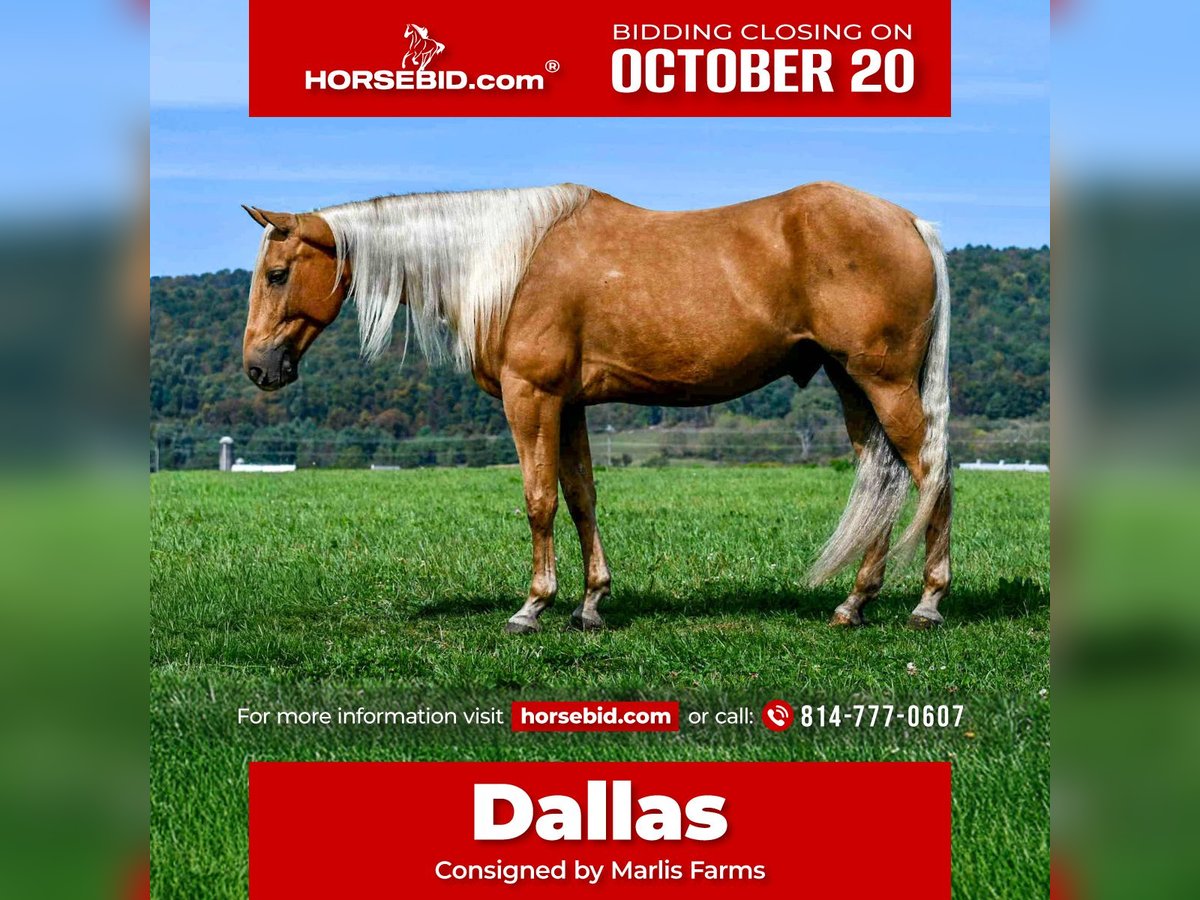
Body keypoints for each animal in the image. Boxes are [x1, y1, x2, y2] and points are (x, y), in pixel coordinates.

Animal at [240, 183, 952, 633]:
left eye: (278, 274)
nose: (258, 368)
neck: (507, 262)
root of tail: (910, 222)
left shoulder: (532, 398)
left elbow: (539, 500)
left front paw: (533, 607)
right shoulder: (572, 405)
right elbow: (581, 496)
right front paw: (590, 603)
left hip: (884, 382)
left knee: (931, 474)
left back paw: (928, 602)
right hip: (851, 384)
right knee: (882, 480)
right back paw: (855, 603)